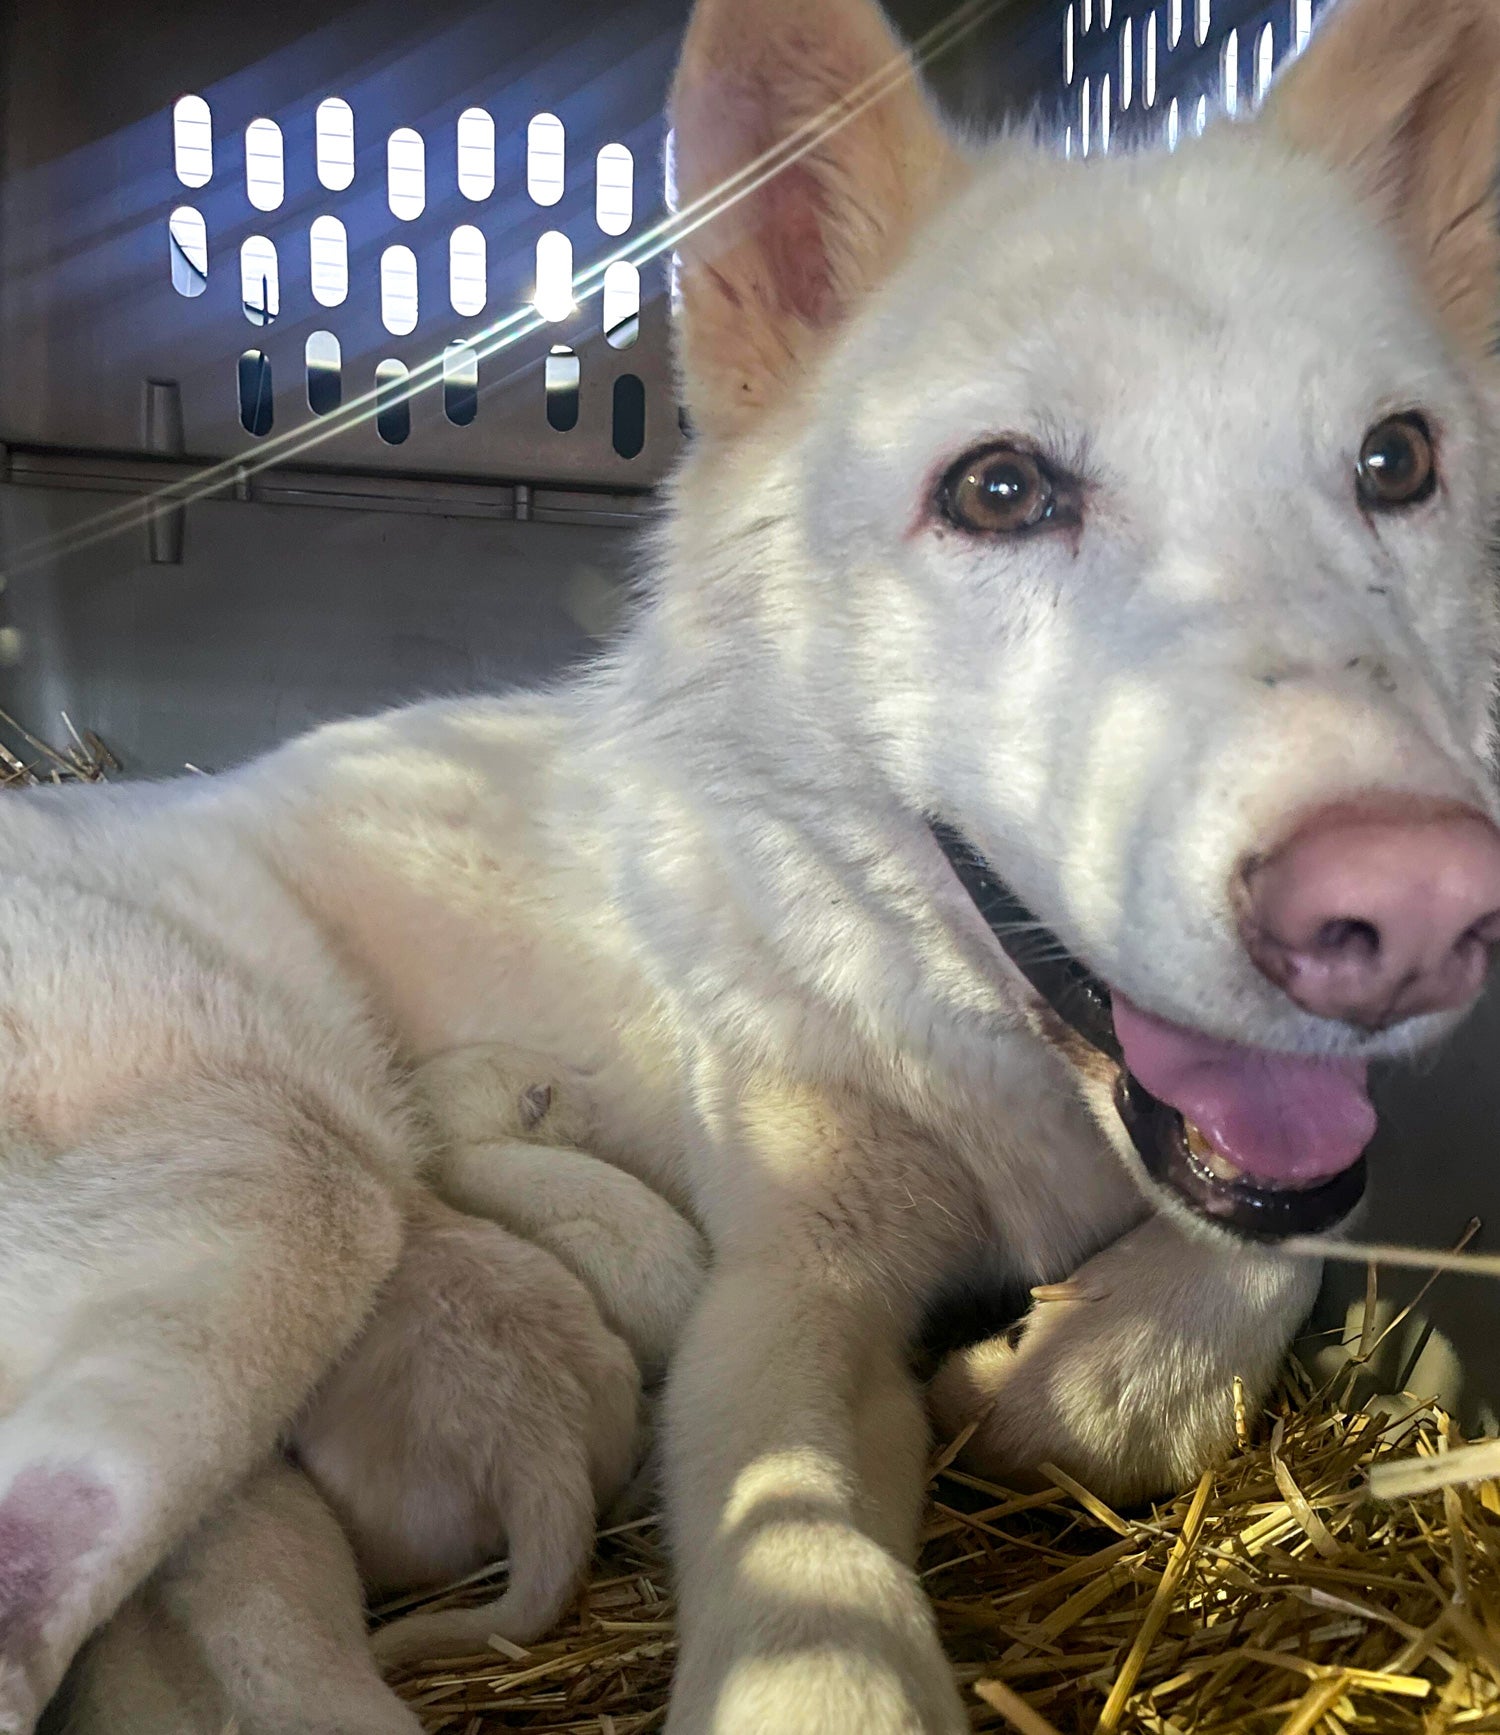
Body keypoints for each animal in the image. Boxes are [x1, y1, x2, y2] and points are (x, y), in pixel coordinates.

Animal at [14, 0, 1500, 1728]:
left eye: (1395, 462)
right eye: (1001, 489)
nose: (1414, 905)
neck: (971, 1046)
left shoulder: (1280, 1160)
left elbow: (1291, 1228)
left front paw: (1062, 1375)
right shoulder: (782, 1286)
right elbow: (808, 1574)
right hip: (279, 1178)